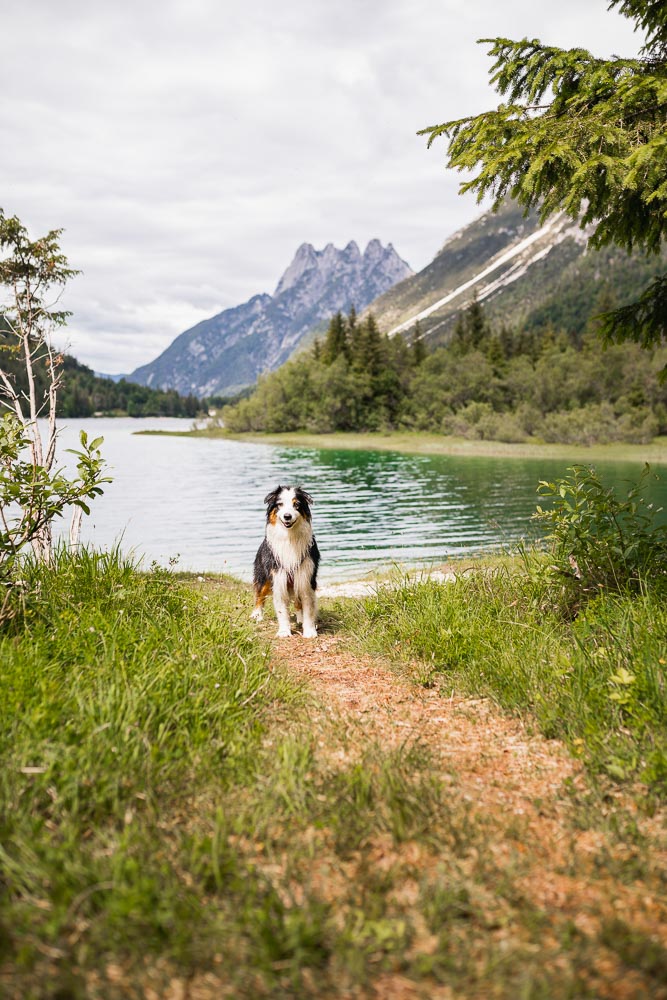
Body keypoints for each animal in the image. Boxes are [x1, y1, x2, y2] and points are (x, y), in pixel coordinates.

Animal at [252, 486, 322, 640]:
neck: (289, 537)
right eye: (280, 505)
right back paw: (256, 614)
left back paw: (300, 618)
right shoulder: (278, 578)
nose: (287, 516)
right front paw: (284, 631)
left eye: (297, 505)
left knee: (298, 602)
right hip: (264, 576)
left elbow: (308, 607)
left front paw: (309, 631)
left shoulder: (305, 577)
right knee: (260, 594)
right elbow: (281, 610)